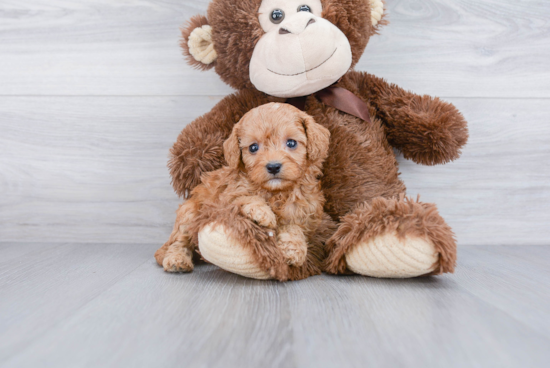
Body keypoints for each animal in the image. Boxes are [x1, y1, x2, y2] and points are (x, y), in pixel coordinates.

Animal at [157, 103, 334, 274]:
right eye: (253, 147)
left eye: (291, 143)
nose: (273, 166)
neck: (276, 192)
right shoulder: (224, 198)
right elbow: (244, 197)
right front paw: (262, 212)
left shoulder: (305, 209)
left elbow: (295, 227)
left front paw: (294, 249)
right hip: (188, 213)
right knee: (179, 241)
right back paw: (177, 260)